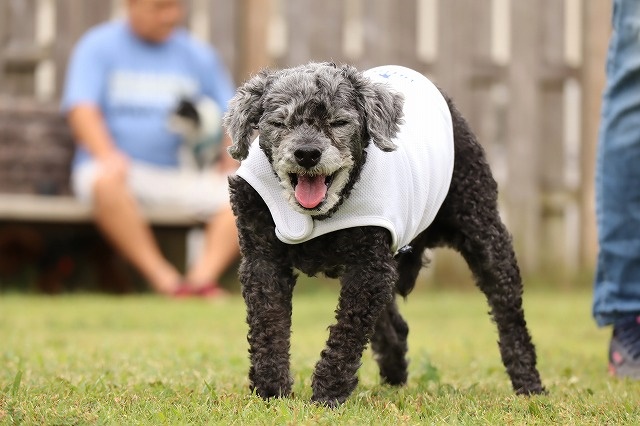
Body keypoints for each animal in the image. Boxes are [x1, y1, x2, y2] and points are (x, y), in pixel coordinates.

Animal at [223, 62, 545, 407]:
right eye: (279, 122)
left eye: (339, 122)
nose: (307, 153)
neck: (316, 216)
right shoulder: (262, 261)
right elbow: (269, 325)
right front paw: (271, 391)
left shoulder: (369, 268)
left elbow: (347, 334)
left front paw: (328, 393)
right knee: (396, 326)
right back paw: (393, 377)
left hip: (485, 233)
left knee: (509, 314)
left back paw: (530, 384)